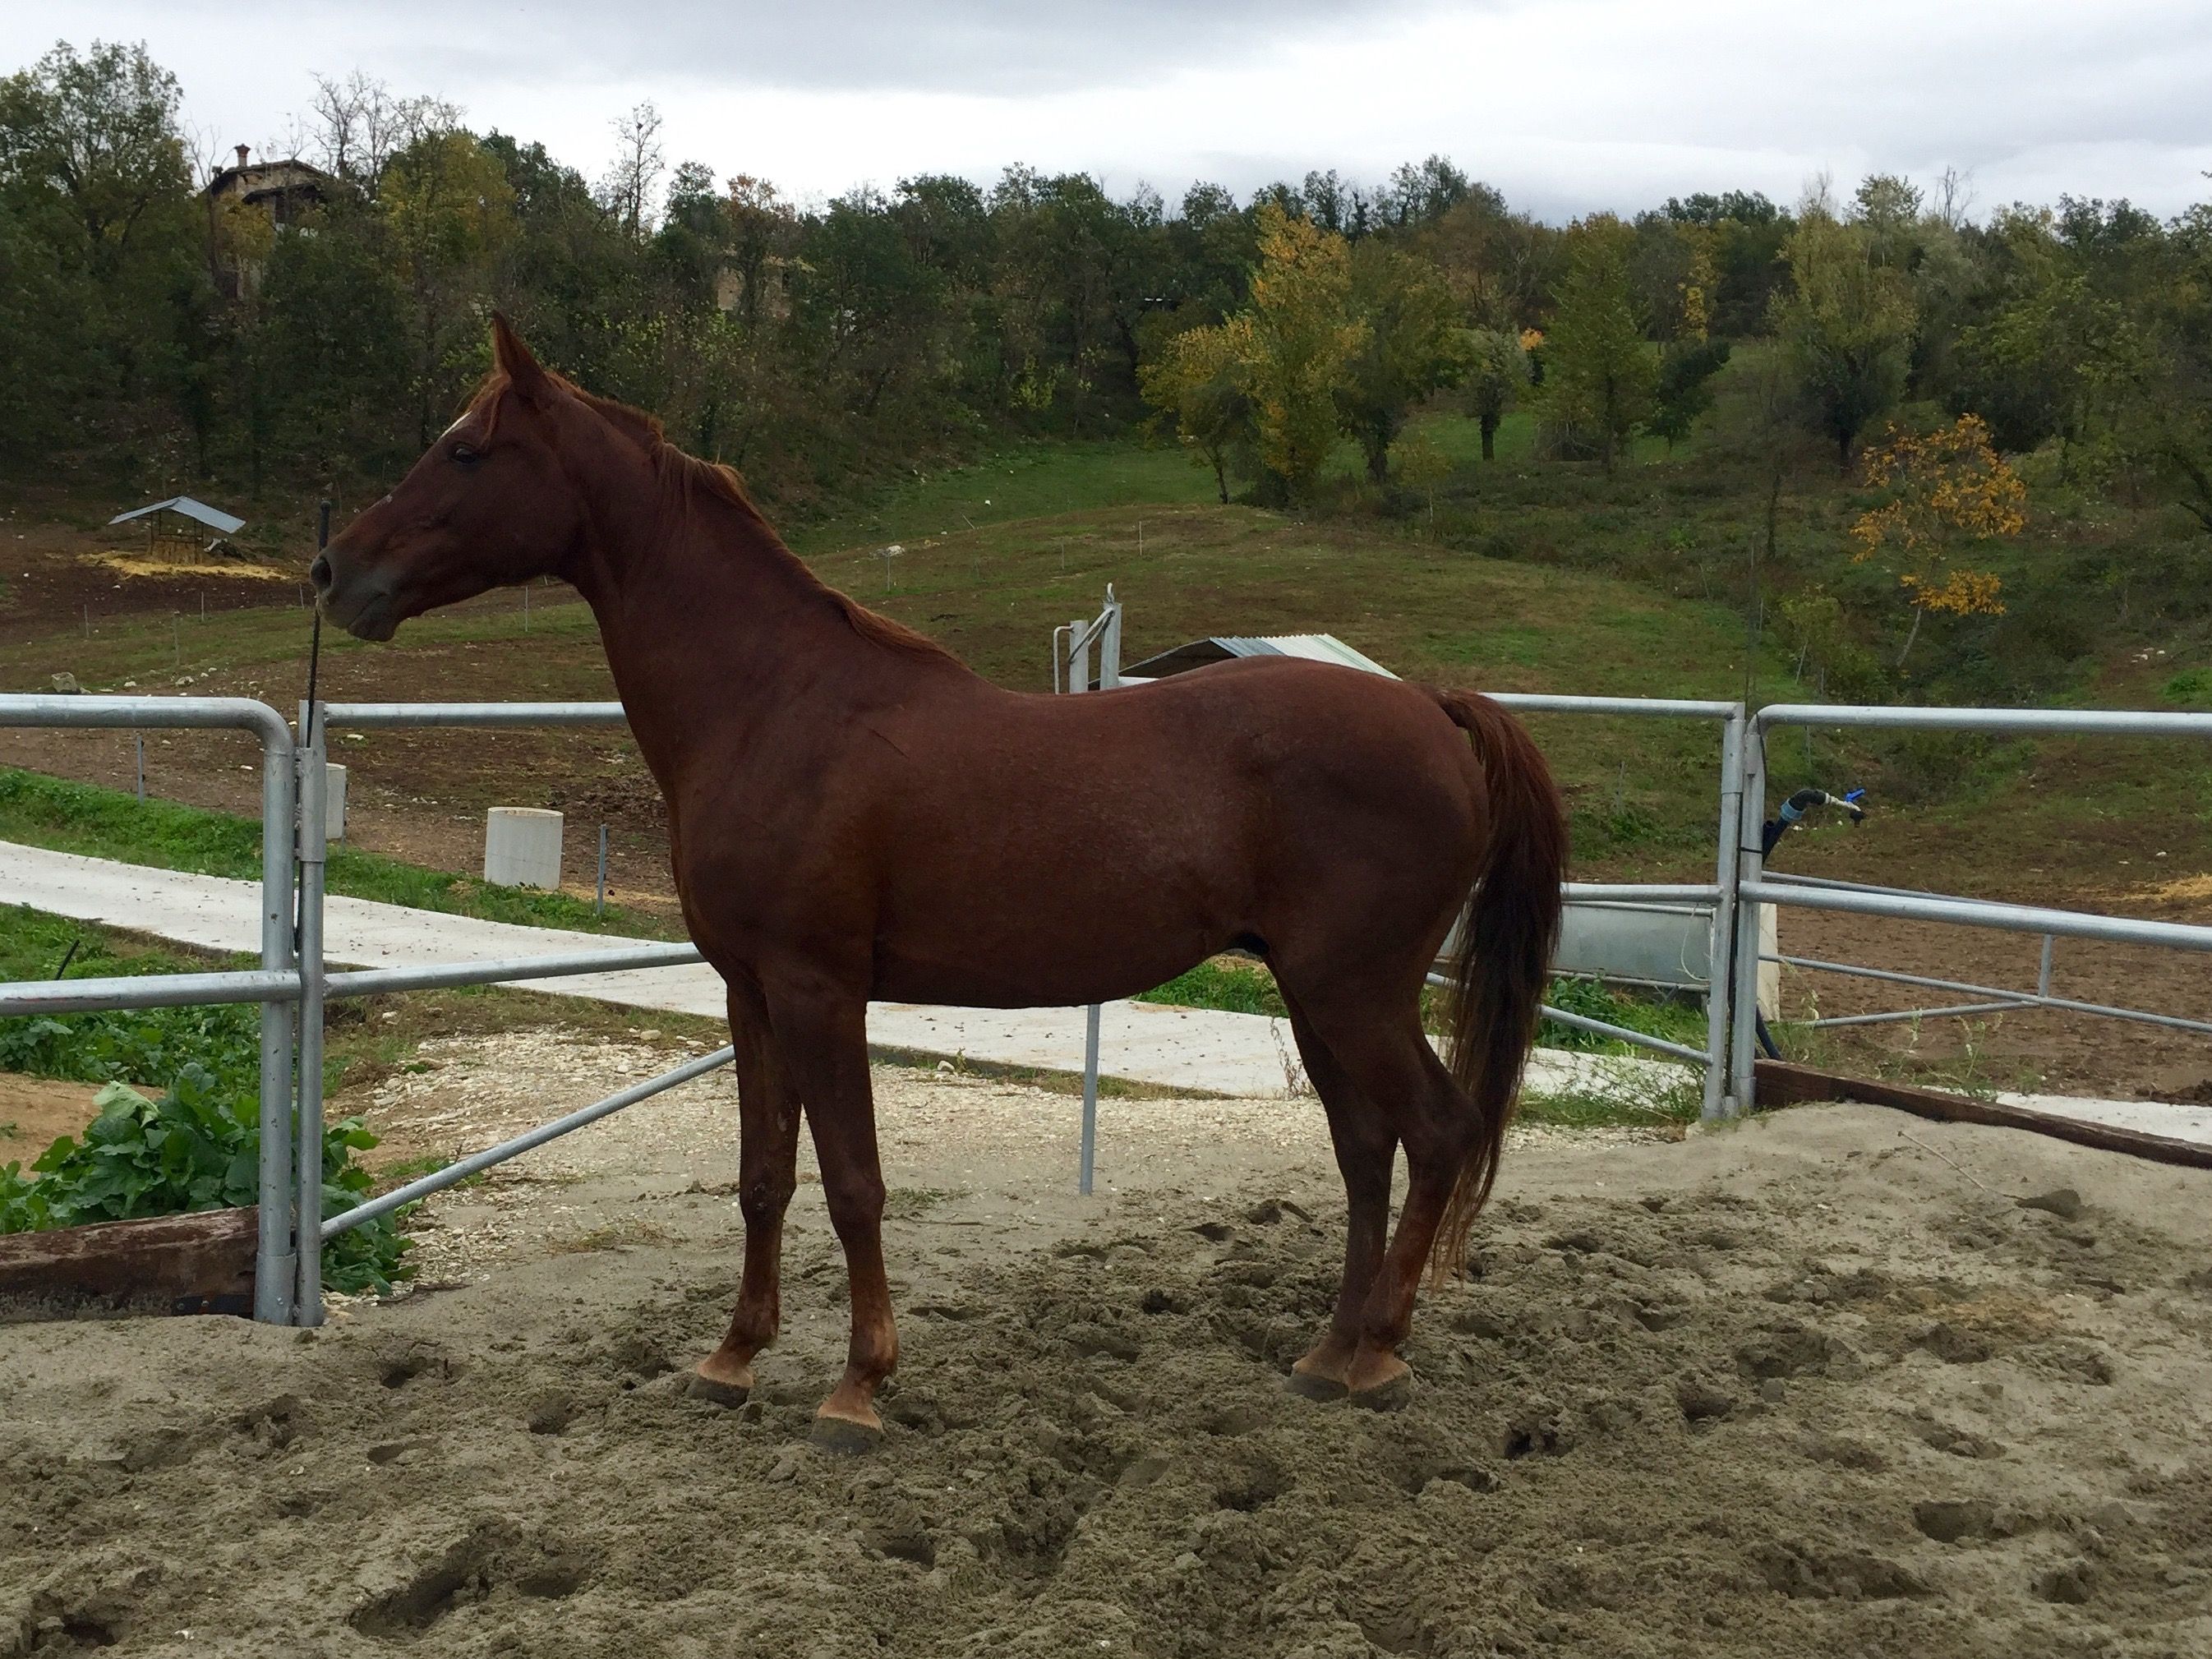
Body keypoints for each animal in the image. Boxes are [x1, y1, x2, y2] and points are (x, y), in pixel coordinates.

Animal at [316, 318, 1574, 1450]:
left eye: (464, 449)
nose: (335, 573)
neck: (772, 704)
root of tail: (1433, 708)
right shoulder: (748, 991)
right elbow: (763, 1175)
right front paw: (732, 1358)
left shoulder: (821, 989)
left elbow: (854, 1181)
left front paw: (857, 1389)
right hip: (1318, 996)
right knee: (1368, 1151)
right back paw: (1327, 1351)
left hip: (1354, 992)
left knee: (1438, 1133)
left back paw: (1378, 1352)